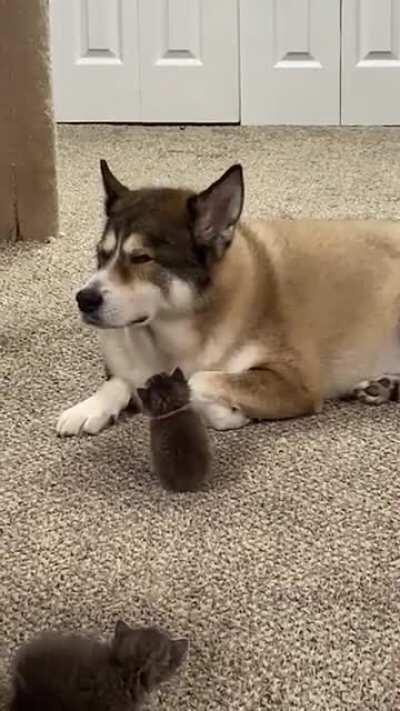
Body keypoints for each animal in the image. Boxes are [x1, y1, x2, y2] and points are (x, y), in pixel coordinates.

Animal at [56, 163, 400, 440]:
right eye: (101, 255)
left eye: (142, 258)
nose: (84, 299)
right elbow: (121, 377)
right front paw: (90, 407)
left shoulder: (296, 382)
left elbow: (199, 381)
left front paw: (227, 414)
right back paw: (384, 386)